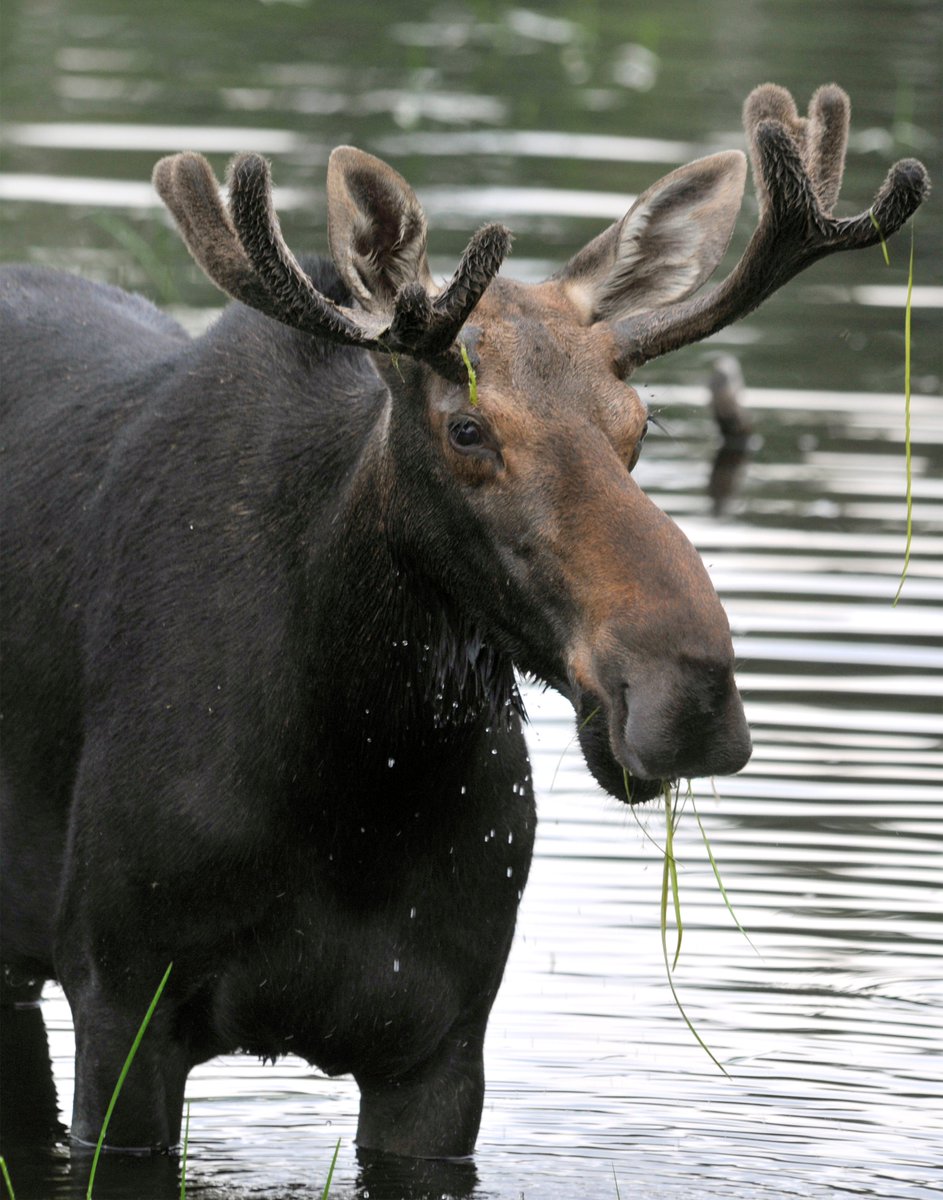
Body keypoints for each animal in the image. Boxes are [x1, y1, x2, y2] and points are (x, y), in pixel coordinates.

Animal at [0, 84, 928, 1160]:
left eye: (640, 427)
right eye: (468, 428)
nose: (688, 694)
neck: (353, 775)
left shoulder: (443, 1042)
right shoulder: (119, 1000)